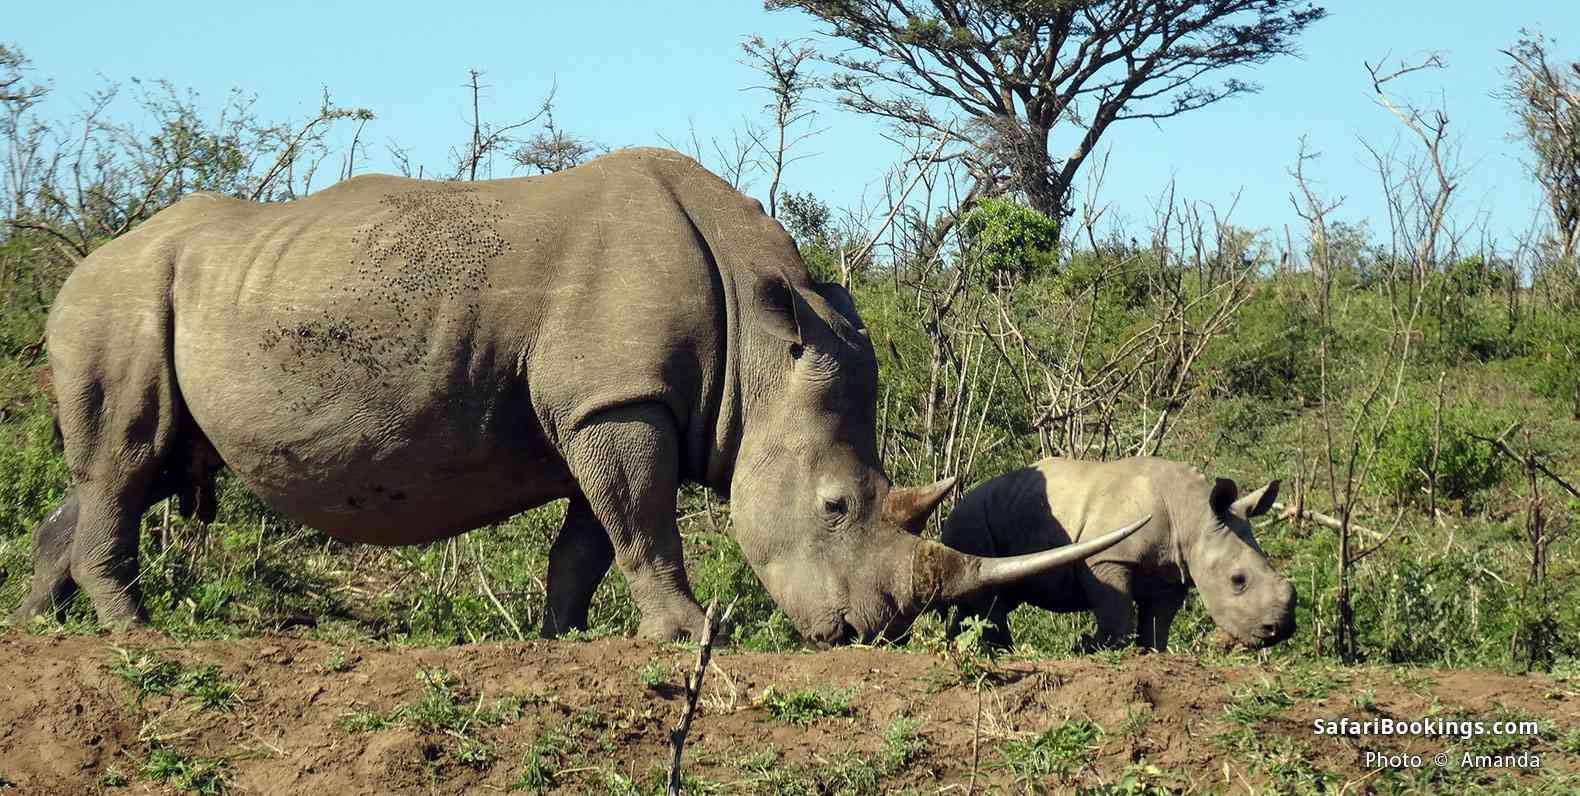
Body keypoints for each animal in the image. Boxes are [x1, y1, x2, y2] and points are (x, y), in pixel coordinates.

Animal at [12, 149, 1150, 644]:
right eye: (834, 506)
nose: (871, 631)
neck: (763, 346)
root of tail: (83, 262)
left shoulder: (611, 402)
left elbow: (591, 537)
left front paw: (562, 638)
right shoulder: (620, 400)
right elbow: (641, 523)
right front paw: (688, 634)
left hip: (154, 300)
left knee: (133, 465)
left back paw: (38, 624)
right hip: (123, 300)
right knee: (127, 458)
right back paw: (135, 633)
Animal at [935, 458, 1295, 650]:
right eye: (1238, 580)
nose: (1279, 630)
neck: (1192, 516)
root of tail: (955, 506)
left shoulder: (1172, 572)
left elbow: (1157, 623)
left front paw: (1150, 653)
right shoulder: (1106, 558)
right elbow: (1118, 613)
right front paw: (1091, 647)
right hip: (971, 519)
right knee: (989, 593)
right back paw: (1000, 650)